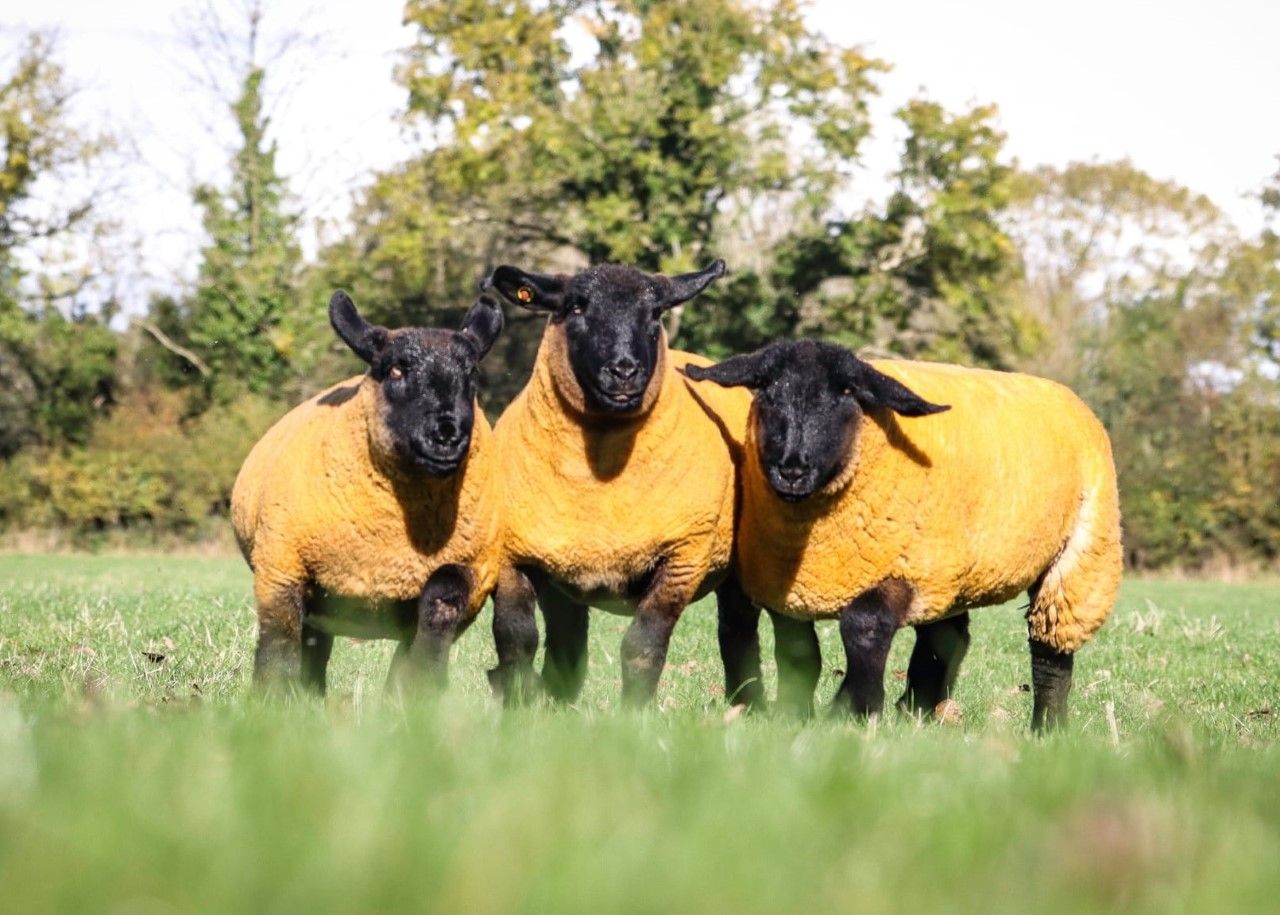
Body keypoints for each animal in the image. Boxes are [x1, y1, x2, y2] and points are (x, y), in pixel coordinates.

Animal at [230, 290, 505, 694]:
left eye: (471, 374)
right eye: (395, 370)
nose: (446, 434)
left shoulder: (470, 566)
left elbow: (441, 601)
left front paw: (421, 691)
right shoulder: (281, 569)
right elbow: (278, 649)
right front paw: (271, 699)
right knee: (310, 649)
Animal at [481, 259, 762, 707]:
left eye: (655, 313)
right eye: (576, 307)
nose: (624, 370)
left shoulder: (683, 558)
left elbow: (642, 646)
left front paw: (633, 715)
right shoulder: (512, 555)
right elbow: (515, 639)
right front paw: (520, 705)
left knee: (738, 634)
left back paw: (749, 705)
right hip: (562, 577)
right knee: (566, 642)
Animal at [683, 339, 1123, 730]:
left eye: (846, 393)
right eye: (766, 391)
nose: (791, 470)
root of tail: (1070, 397)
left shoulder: (902, 568)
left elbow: (863, 625)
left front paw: (853, 710)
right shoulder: (787, 586)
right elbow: (799, 653)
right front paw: (796, 715)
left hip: (1080, 555)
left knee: (1051, 650)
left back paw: (1046, 728)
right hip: (950, 573)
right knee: (948, 636)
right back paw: (921, 707)